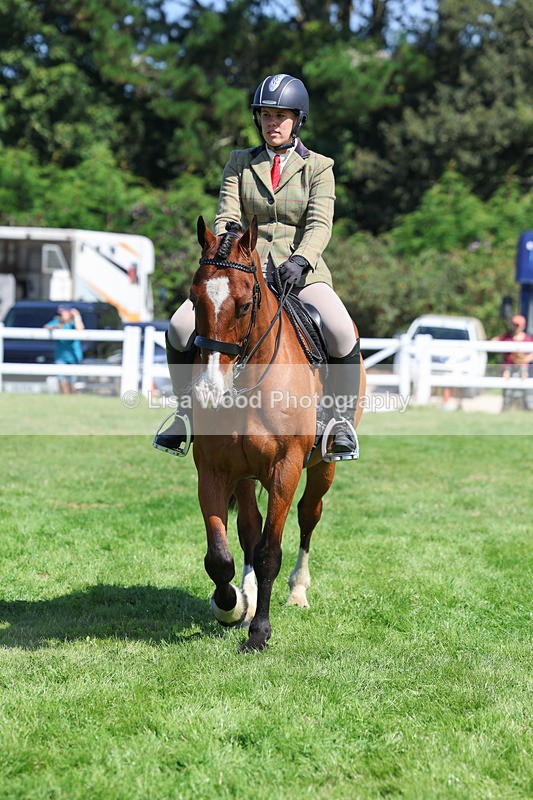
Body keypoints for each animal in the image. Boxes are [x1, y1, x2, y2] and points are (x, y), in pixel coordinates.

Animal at [188, 215, 366, 651]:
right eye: (194, 300)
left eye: (245, 304)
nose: (209, 392)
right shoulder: (214, 472)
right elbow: (220, 556)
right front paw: (231, 606)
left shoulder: (285, 470)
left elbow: (271, 552)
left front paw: (259, 633)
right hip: (246, 476)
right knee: (249, 530)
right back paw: (248, 597)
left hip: (321, 467)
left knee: (308, 515)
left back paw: (297, 591)